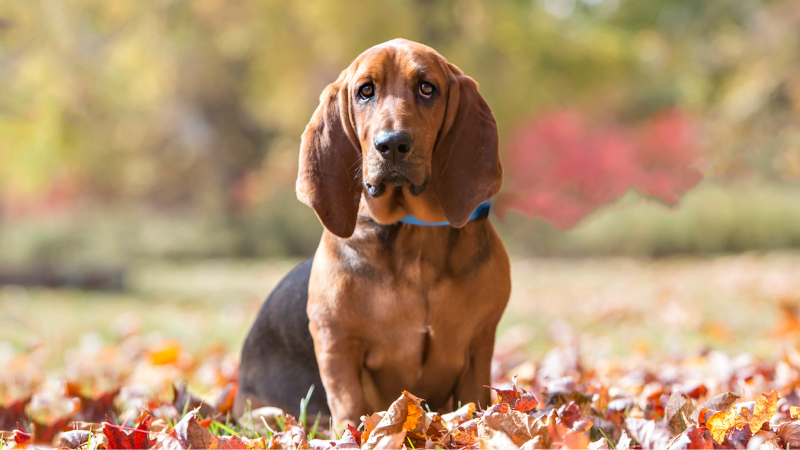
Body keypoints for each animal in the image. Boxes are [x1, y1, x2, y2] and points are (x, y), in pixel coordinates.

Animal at [236, 37, 512, 426]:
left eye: (427, 88)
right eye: (365, 91)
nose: (392, 144)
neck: (414, 230)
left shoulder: (479, 344)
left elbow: (475, 403)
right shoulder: (337, 344)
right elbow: (350, 406)